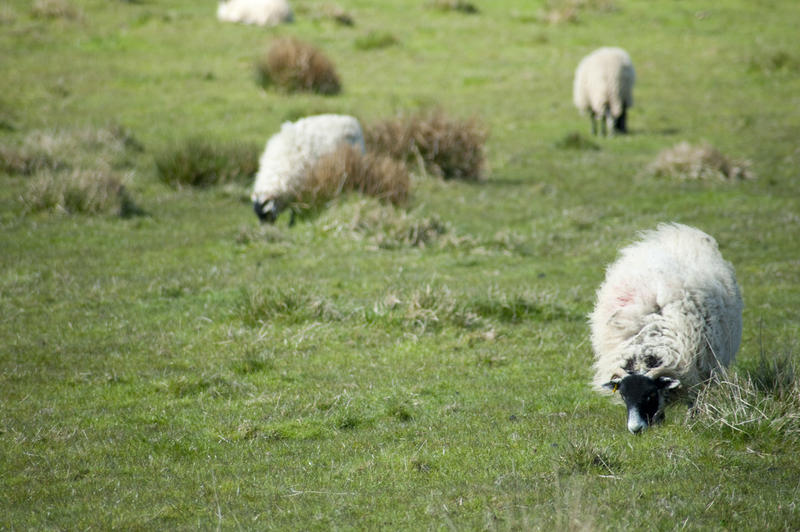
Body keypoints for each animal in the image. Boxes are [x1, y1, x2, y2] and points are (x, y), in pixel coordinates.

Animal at [588, 222, 744, 434]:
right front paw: (658, 423)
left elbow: (694, 399)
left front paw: (692, 422)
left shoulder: (694, 370)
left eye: (650, 395)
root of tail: (679, 234)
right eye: (623, 396)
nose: (635, 429)